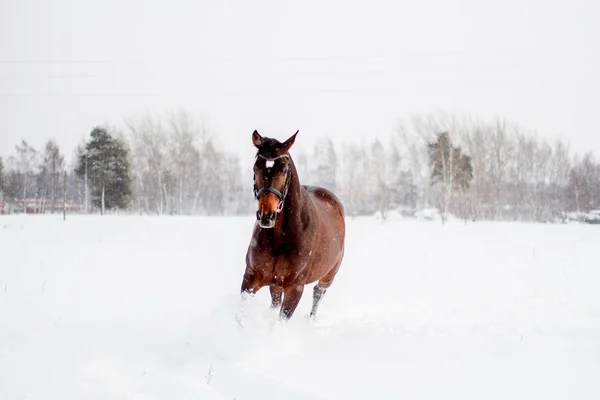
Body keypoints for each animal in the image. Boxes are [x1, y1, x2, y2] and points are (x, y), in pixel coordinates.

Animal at [238, 130, 342, 320]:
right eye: (256, 168)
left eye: (284, 170)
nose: (266, 216)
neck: (279, 237)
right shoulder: (251, 277)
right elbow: (241, 315)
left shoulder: (295, 287)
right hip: (276, 284)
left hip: (328, 276)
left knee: (318, 294)